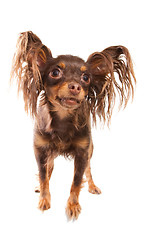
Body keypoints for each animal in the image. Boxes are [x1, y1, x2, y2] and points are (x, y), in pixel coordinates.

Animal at [10, 31, 136, 220]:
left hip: (90, 152)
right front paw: (44, 200)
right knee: (49, 169)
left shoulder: (83, 152)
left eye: (86, 78)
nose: (75, 86)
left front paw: (73, 206)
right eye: (55, 72)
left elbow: (76, 181)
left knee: (88, 171)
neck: (63, 117)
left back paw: (92, 186)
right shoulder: (40, 150)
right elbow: (43, 175)